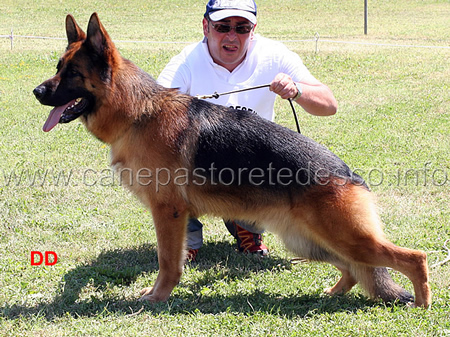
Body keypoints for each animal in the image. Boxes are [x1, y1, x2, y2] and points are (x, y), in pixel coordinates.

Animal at [33, 13, 430, 308]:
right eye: (58, 67)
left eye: (72, 74)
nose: (36, 91)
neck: (138, 114)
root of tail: (348, 174)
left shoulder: (168, 212)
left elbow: (167, 261)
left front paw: (158, 297)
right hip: (308, 241)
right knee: (353, 268)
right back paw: (332, 293)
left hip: (345, 237)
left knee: (413, 257)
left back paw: (422, 304)